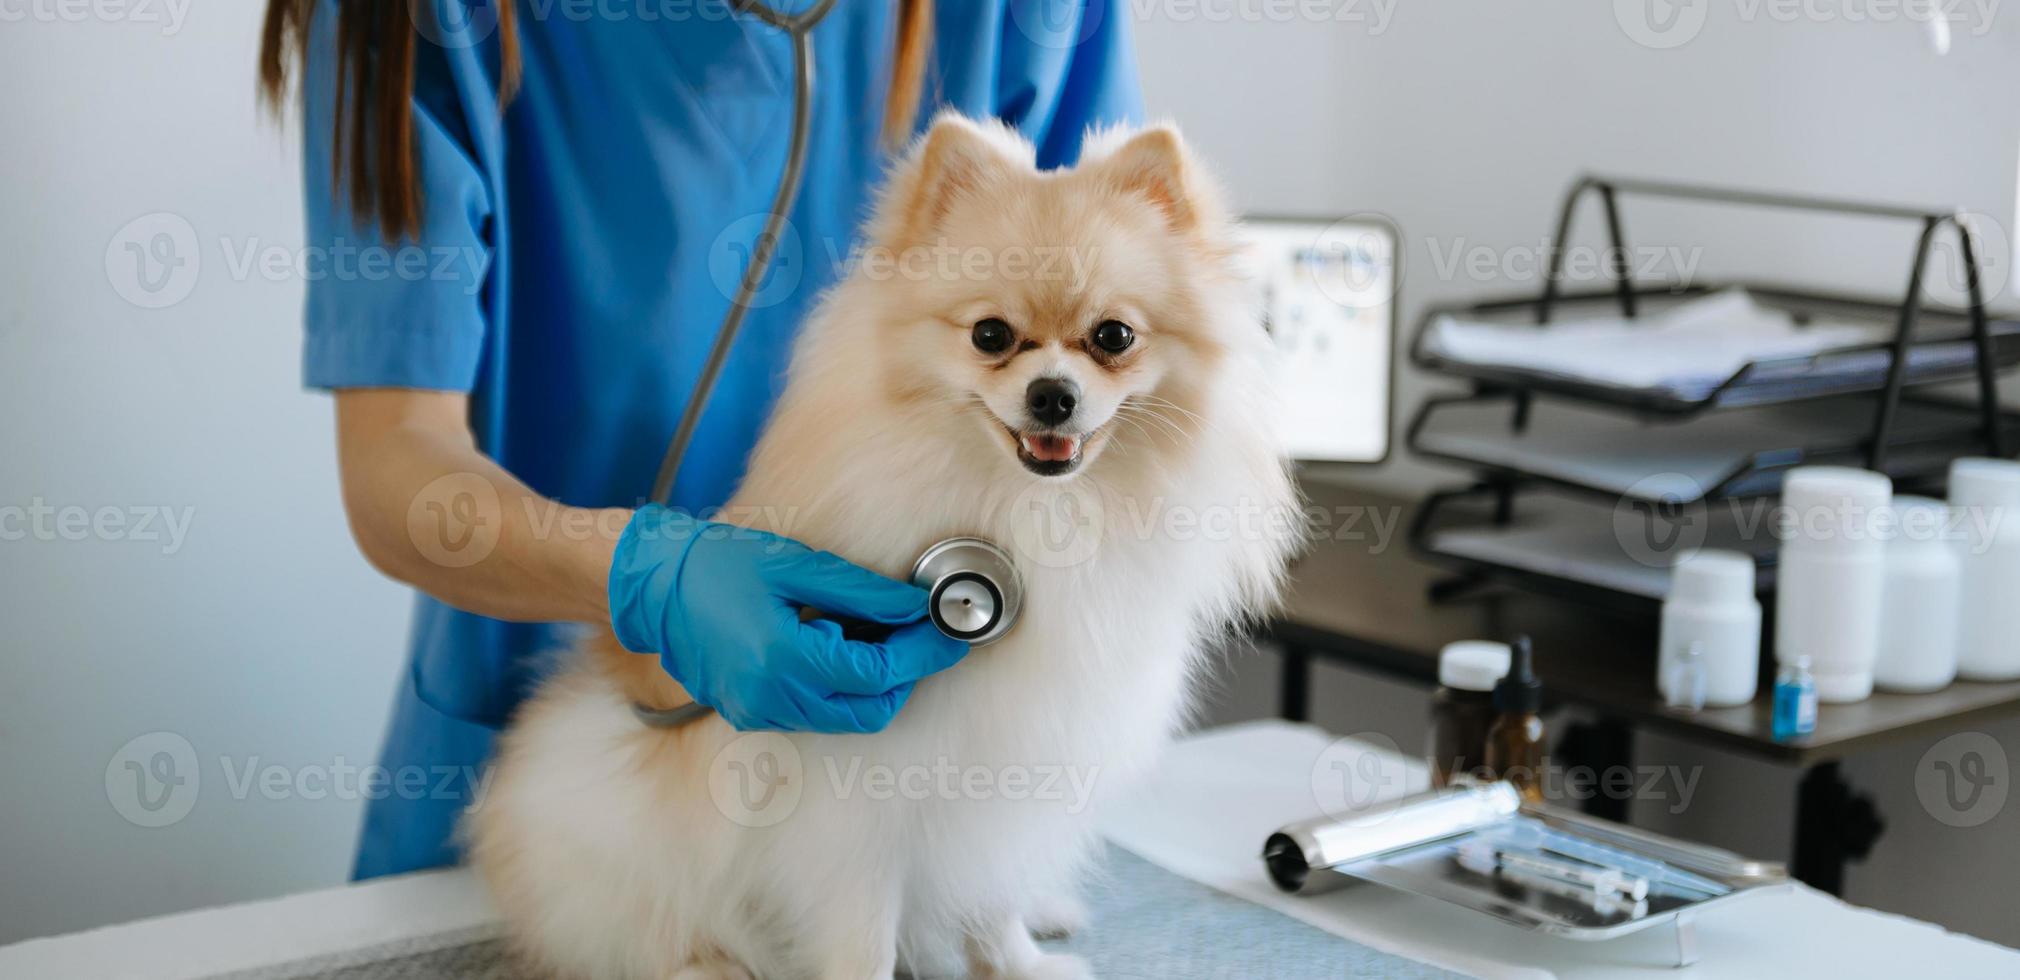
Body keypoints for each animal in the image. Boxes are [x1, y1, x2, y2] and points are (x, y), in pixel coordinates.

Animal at [464, 116, 1300, 977]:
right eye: (991, 335)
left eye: (1114, 336)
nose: (1052, 395)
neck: (1033, 513)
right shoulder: (855, 811)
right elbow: (863, 935)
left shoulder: (1007, 786)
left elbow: (992, 898)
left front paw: (1018, 963)